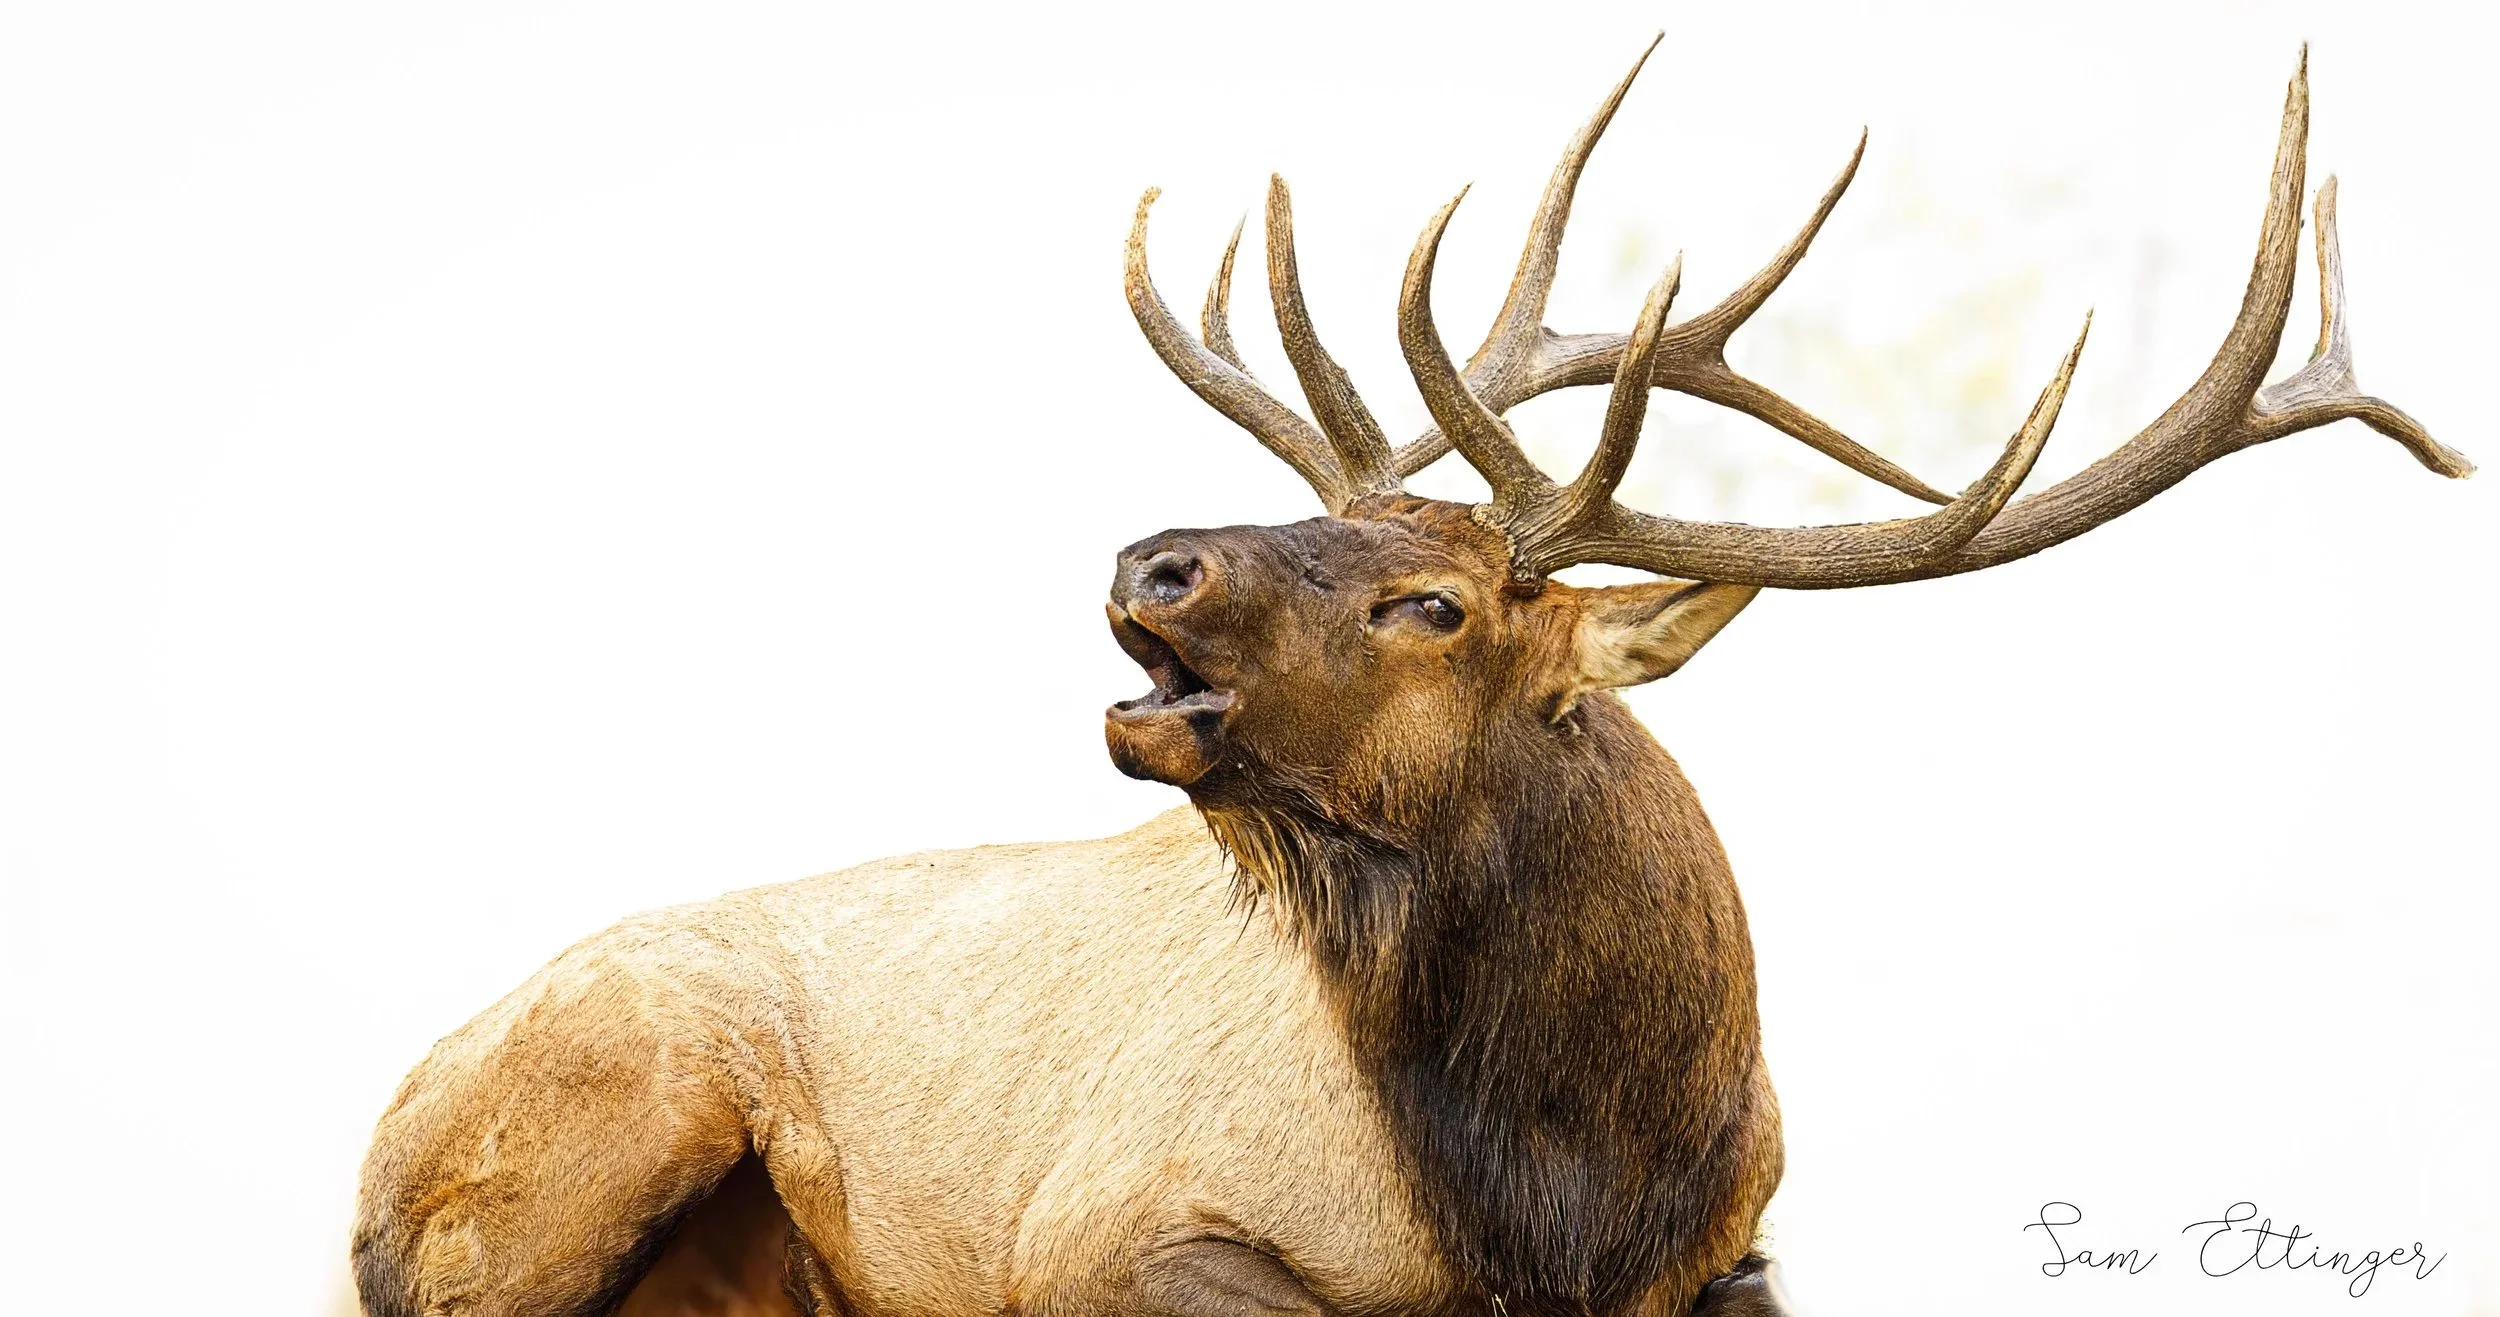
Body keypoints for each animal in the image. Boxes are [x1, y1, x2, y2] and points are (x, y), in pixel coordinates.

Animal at [352, 40, 2467, 1317]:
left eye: (1436, 601)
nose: (1150, 555)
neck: (1571, 1184)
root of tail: (397, 1102)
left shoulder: (1740, 1251)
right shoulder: (1100, 1231)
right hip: (587, 1118)